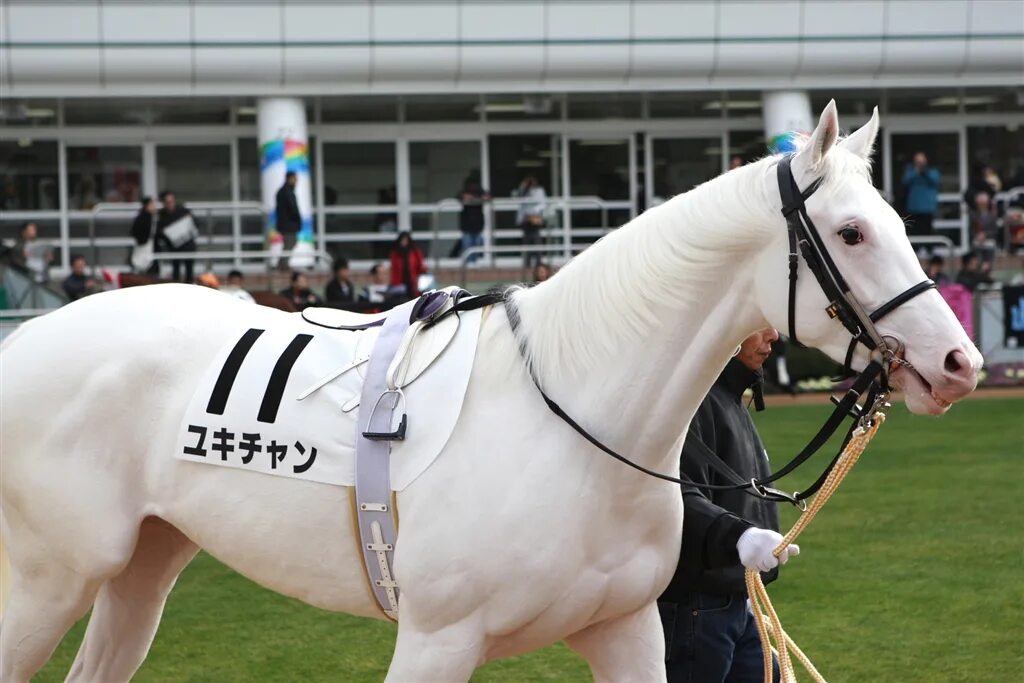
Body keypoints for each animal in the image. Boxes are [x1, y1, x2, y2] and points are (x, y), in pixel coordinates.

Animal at [0, 102, 978, 683]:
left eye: (898, 221)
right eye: (850, 233)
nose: (961, 362)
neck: (573, 423)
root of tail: (27, 338)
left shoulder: (629, 629)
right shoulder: (437, 641)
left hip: (143, 564)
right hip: (48, 577)